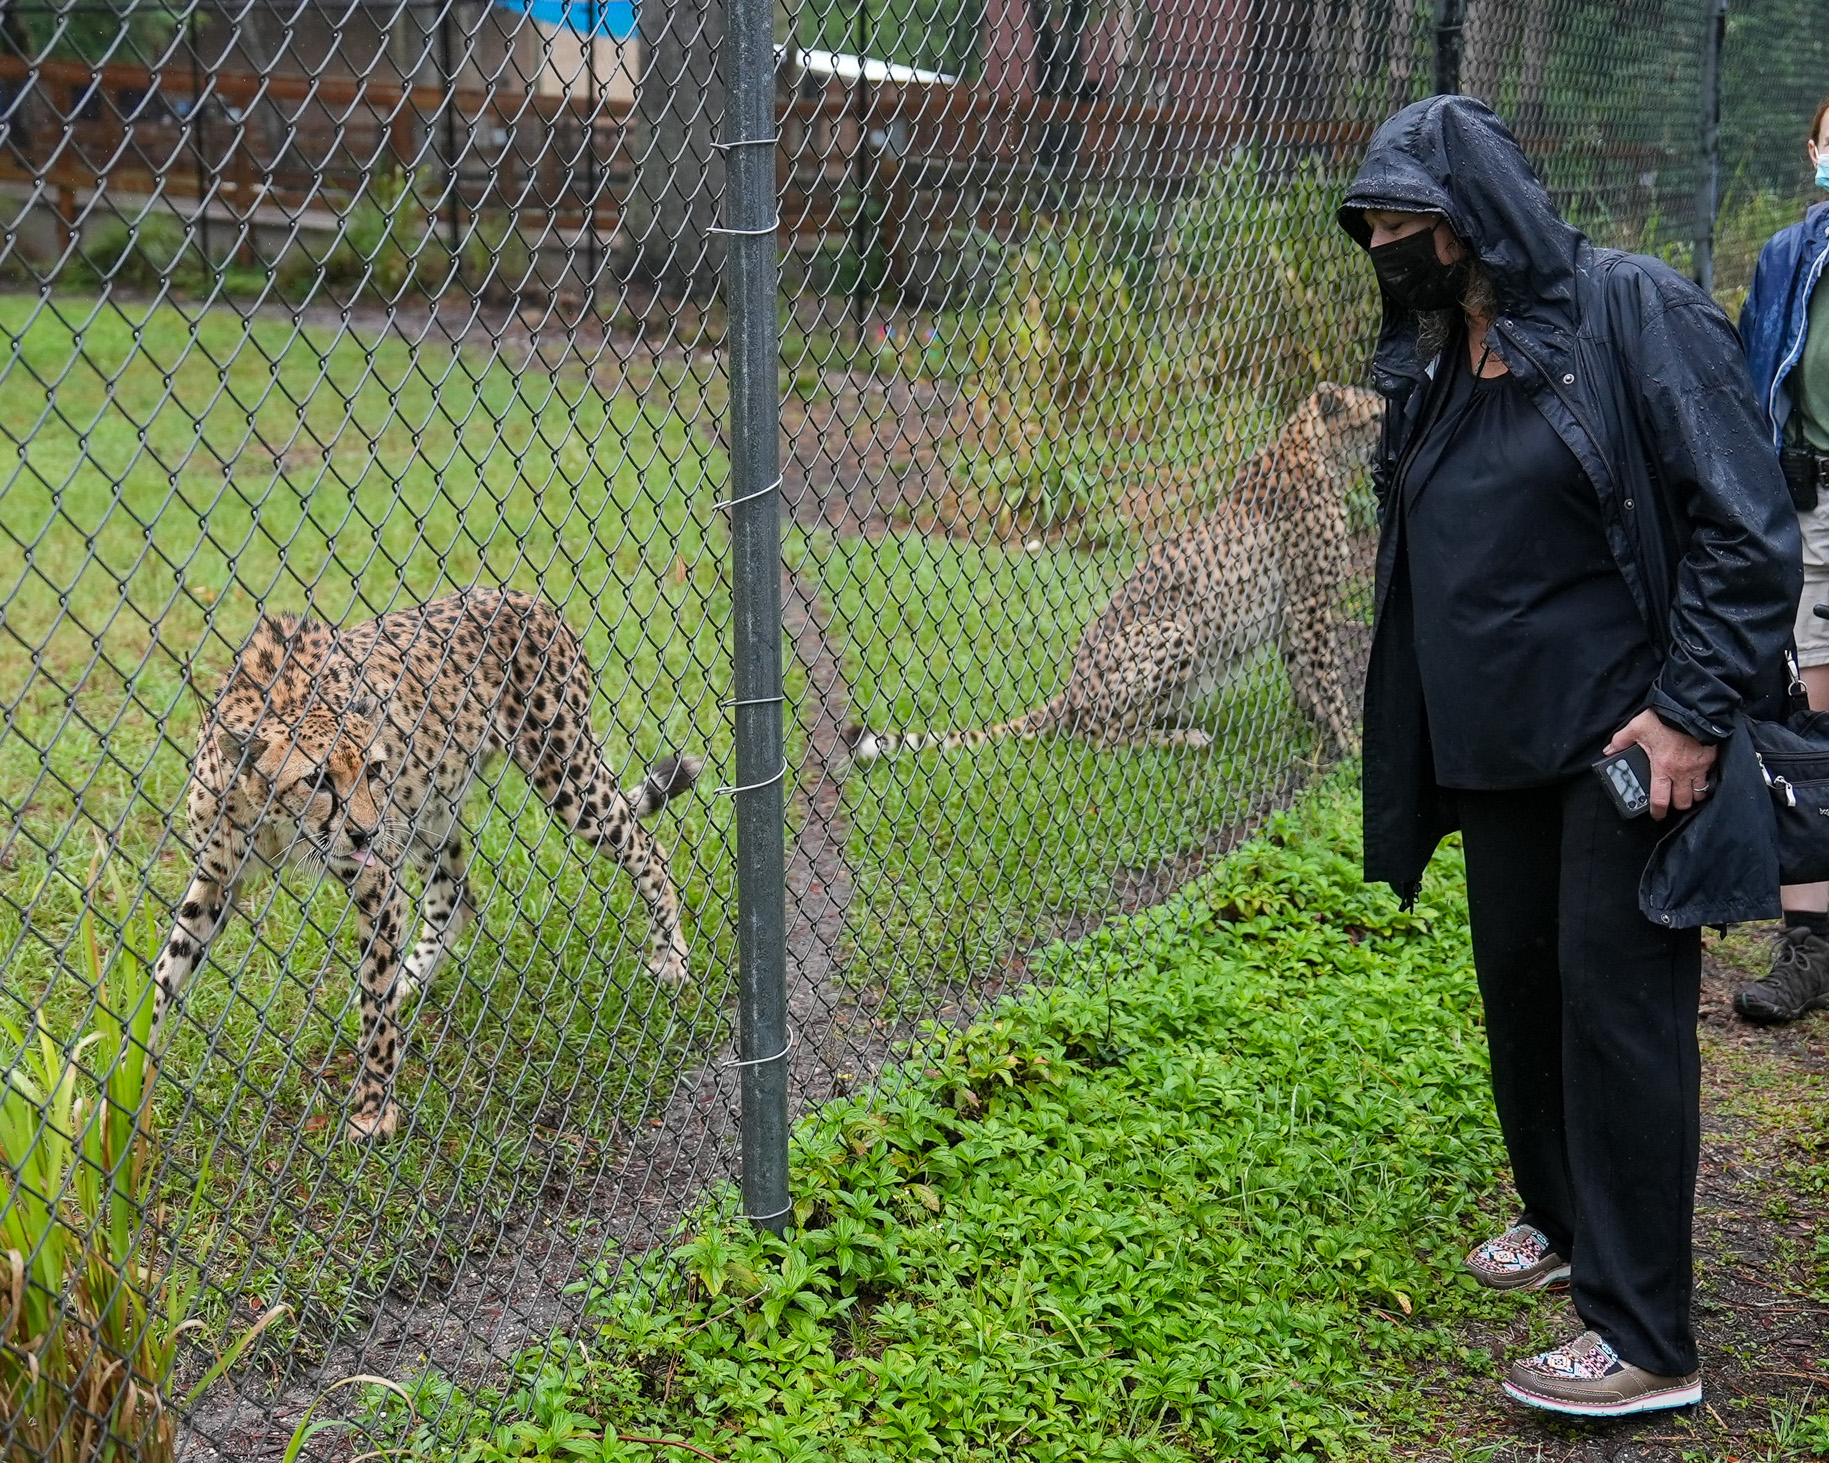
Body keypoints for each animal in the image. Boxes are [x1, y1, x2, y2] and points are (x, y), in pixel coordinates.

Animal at [155, 588, 698, 1133]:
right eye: (316, 779)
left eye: (374, 769)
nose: (366, 830)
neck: (276, 822)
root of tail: (525, 596)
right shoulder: (215, 878)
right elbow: (165, 972)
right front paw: (137, 1079)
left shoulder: (376, 878)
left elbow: (374, 1001)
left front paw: (374, 1107)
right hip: (430, 811)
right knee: (456, 899)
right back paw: (411, 978)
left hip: (564, 775)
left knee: (648, 848)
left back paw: (671, 957)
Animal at [837, 380, 1375, 764]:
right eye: (1377, 414)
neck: (1314, 451)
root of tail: (1072, 687)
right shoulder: (1310, 602)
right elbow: (1329, 677)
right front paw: (1351, 746)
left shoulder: (1292, 609)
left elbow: (1306, 676)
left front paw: (1318, 730)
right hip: (1174, 630)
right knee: (1106, 739)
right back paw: (1182, 739)